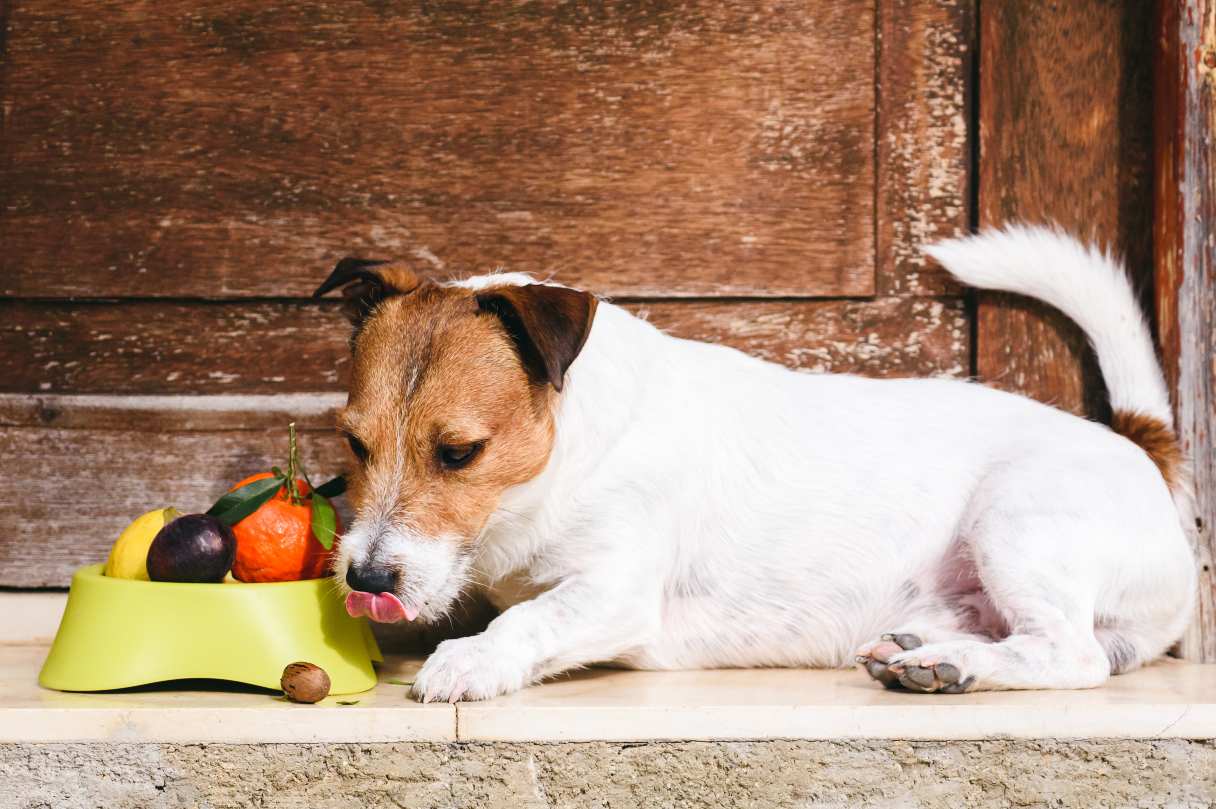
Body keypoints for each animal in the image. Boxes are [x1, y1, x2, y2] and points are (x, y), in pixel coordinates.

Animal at [316, 225, 1196, 700]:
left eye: (459, 452)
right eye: (354, 441)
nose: (366, 578)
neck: (569, 452)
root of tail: (1139, 446)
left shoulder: (614, 591)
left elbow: (529, 616)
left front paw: (469, 658)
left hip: (1017, 521)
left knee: (1070, 652)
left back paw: (950, 664)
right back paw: (921, 654)